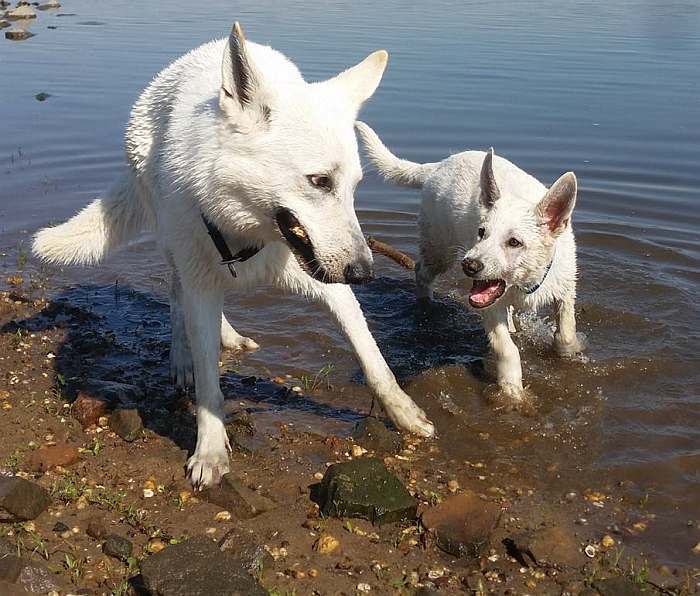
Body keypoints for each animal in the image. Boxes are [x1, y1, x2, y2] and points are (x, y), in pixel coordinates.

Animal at [37, 24, 438, 488]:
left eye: (354, 186)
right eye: (319, 181)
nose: (363, 273)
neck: (246, 233)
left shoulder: (327, 282)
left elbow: (373, 359)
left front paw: (404, 412)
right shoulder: (207, 280)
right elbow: (209, 386)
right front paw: (210, 451)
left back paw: (225, 335)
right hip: (175, 248)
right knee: (176, 297)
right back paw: (181, 358)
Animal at [358, 123, 584, 406]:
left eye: (514, 242)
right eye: (481, 232)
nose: (470, 266)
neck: (524, 285)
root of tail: (438, 166)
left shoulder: (565, 290)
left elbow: (566, 334)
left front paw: (570, 355)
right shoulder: (490, 307)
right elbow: (507, 349)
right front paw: (512, 392)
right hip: (439, 249)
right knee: (421, 272)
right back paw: (426, 304)